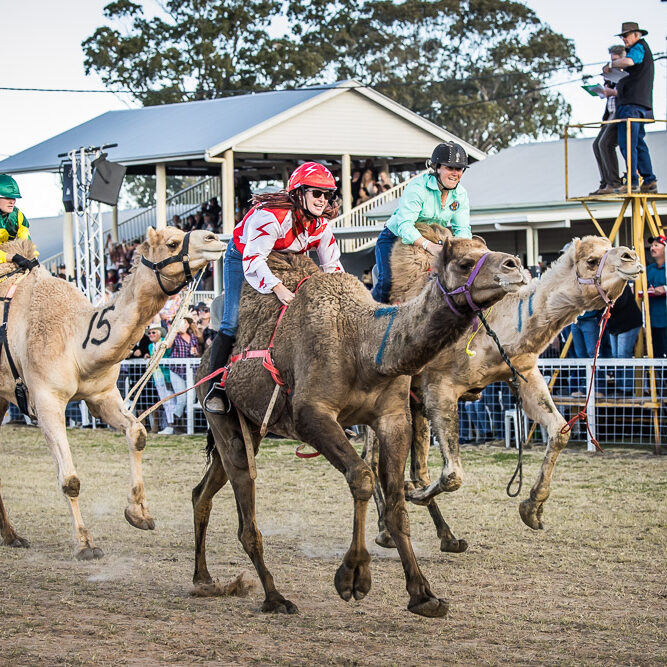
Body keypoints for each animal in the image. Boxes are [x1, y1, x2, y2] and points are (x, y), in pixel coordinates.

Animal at [0, 228, 224, 560]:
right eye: (171, 243)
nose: (214, 238)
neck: (75, 338)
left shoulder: (102, 394)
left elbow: (137, 433)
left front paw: (139, 514)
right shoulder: (46, 399)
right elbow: (70, 480)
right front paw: (85, 544)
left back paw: (12, 536)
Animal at [192, 236, 528, 620]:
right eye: (463, 262)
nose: (515, 265)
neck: (364, 345)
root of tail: (204, 359)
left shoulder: (393, 417)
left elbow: (397, 502)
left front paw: (424, 595)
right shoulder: (312, 414)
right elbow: (362, 476)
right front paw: (353, 577)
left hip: (251, 428)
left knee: (202, 492)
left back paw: (204, 580)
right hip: (224, 420)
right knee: (245, 505)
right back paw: (275, 598)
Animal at [370, 227, 640, 552]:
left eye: (610, 247)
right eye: (592, 260)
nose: (631, 256)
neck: (499, 326)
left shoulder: (523, 373)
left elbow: (560, 430)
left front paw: (532, 509)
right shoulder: (439, 386)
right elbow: (453, 474)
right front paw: (412, 494)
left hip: (414, 403)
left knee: (414, 466)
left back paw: (446, 537)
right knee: (374, 460)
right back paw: (387, 531)